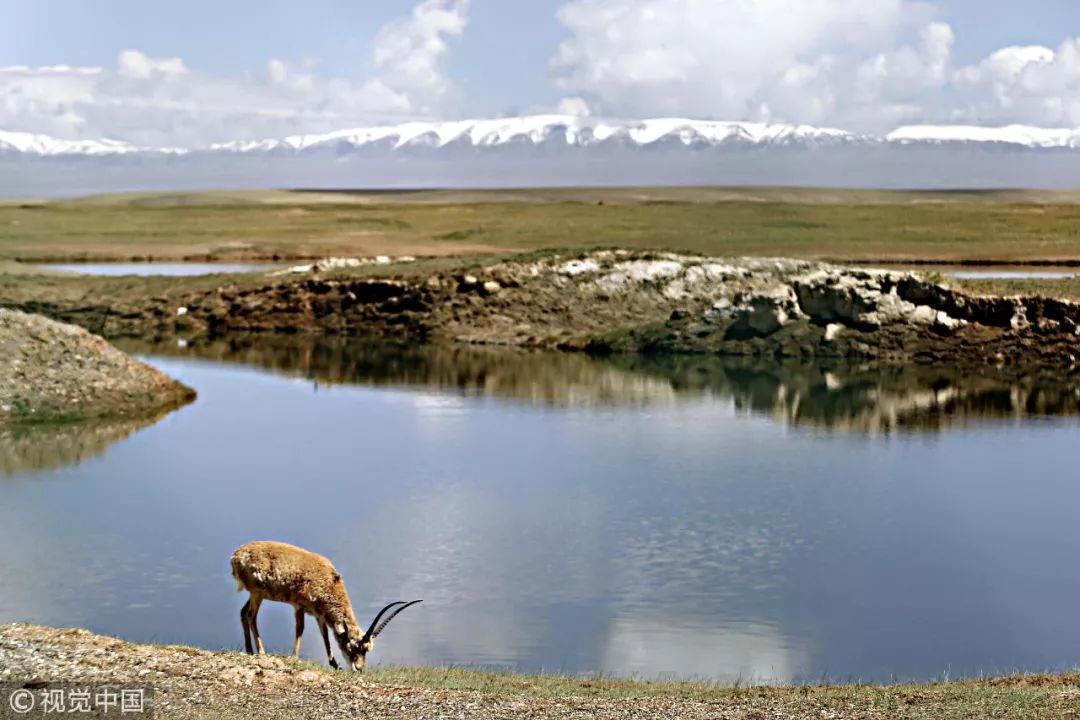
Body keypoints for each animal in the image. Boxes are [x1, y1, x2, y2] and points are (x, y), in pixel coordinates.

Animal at [232, 544, 421, 673]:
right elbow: (300, 629)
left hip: (256, 595)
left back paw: (249, 650)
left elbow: (325, 636)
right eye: (354, 647)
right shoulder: (299, 605)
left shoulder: (319, 615)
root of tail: (236, 556)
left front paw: (335, 664)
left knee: (243, 612)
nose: (359, 668)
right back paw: (261, 651)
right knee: (251, 615)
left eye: (367, 650)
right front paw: (294, 657)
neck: (329, 581)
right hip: (257, 593)